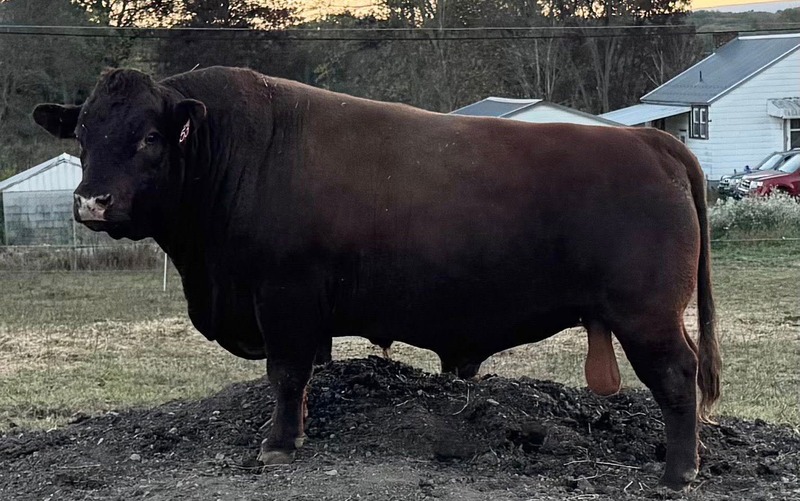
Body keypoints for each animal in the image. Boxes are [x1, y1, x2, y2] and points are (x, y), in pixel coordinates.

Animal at [33, 66, 720, 490]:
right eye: (85, 132)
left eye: (150, 136)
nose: (91, 201)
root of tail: (651, 144)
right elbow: (303, 376)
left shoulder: (285, 298)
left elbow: (286, 374)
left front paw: (279, 444)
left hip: (648, 314)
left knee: (677, 378)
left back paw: (678, 472)